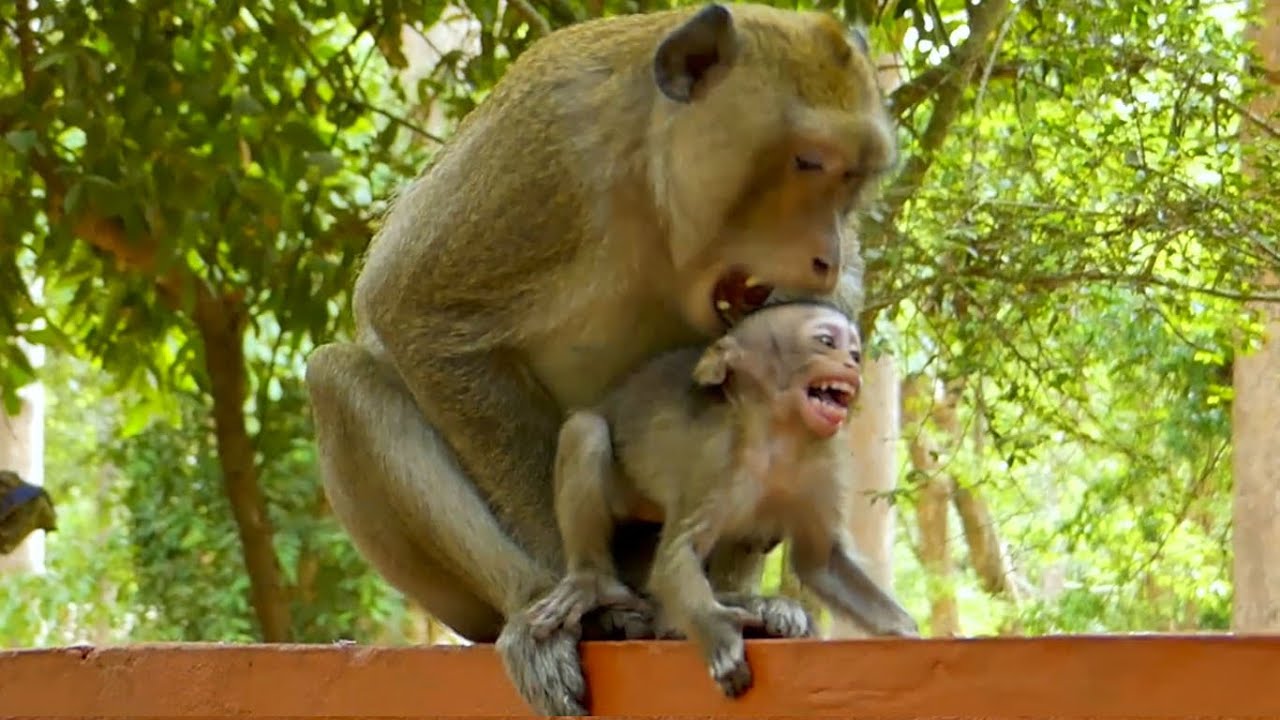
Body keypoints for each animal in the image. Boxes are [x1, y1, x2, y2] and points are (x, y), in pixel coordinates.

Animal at [524, 300, 919, 699]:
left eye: (854, 352)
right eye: (827, 342)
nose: (853, 364)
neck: (779, 435)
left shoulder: (825, 462)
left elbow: (820, 563)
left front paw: (904, 630)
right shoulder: (713, 455)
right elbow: (675, 556)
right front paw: (720, 633)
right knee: (586, 430)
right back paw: (593, 583)